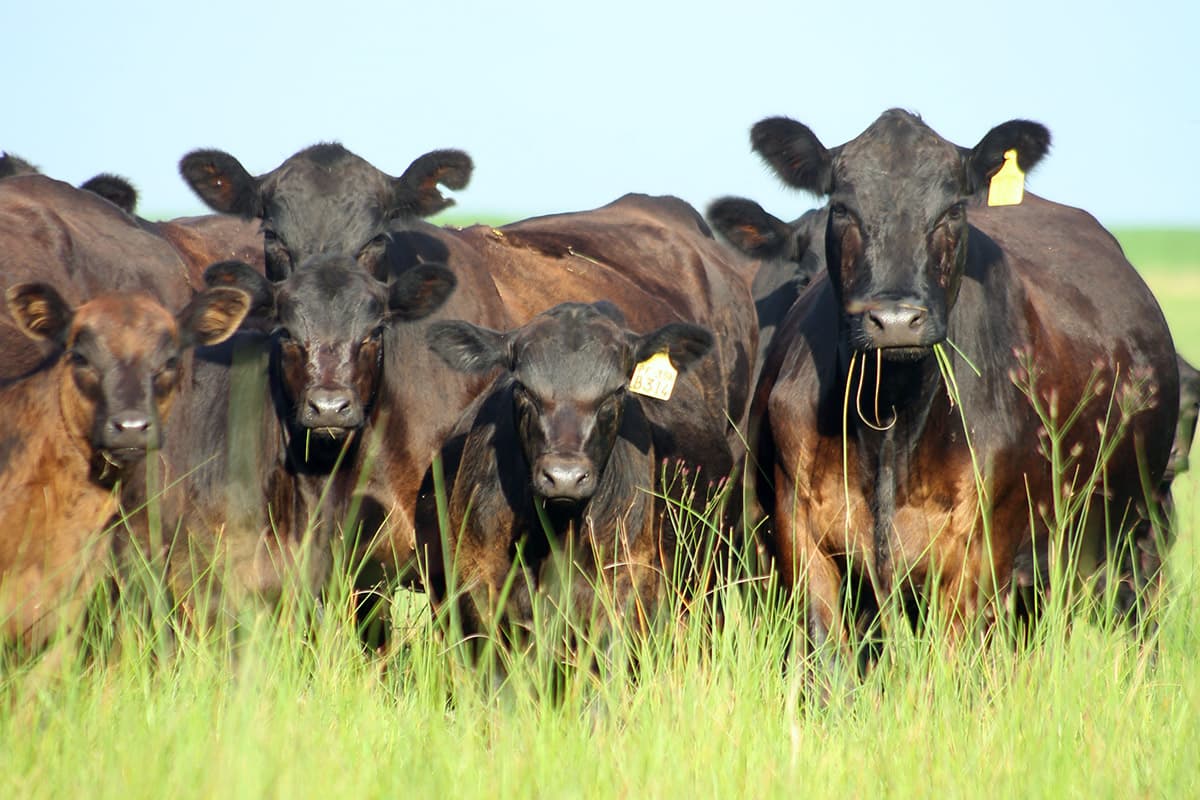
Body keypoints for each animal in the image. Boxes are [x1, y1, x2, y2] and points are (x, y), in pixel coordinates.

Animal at [747, 109, 1178, 683]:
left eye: (952, 209)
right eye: (842, 206)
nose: (895, 319)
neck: (893, 416)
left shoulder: (982, 548)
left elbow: (953, 672)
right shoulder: (801, 532)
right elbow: (830, 664)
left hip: (1135, 526)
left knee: (1139, 620)